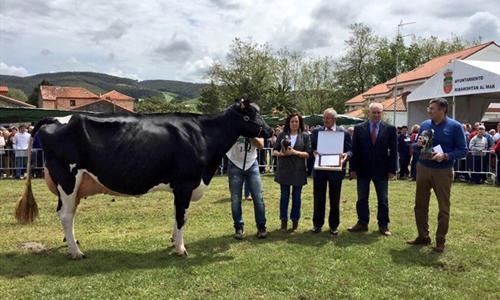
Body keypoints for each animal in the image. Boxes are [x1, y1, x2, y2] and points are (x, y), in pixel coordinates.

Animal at [15, 98, 272, 258]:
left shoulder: (183, 186)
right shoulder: (185, 183)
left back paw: (72, 245)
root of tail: (55, 119)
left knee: (66, 214)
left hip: (74, 185)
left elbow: (178, 214)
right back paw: (77, 253)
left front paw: (174, 240)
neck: (203, 134)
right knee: (66, 215)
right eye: (250, 115)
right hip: (68, 178)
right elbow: (182, 216)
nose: (269, 131)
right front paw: (180, 248)